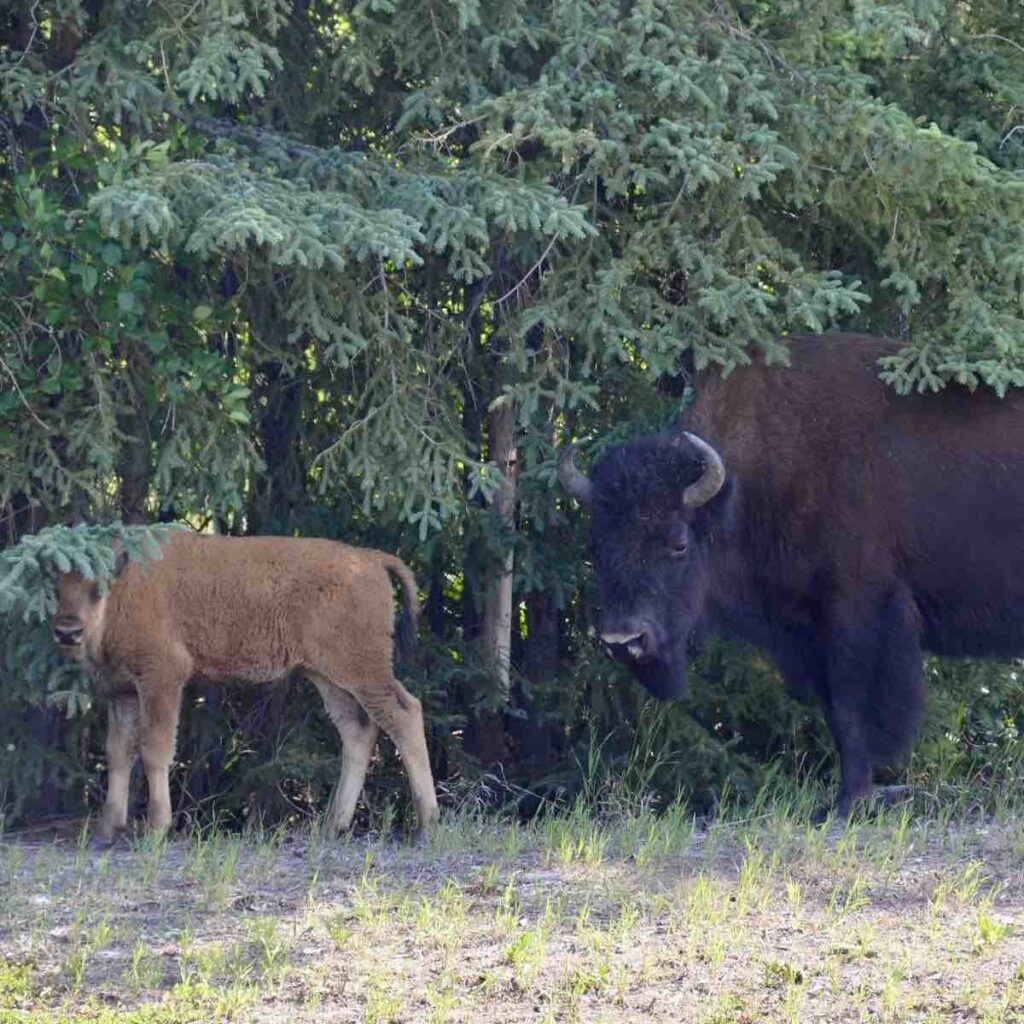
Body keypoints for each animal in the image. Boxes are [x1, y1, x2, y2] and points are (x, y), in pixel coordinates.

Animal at [50, 532, 440, 843]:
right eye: (56, 589)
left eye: (96, 588)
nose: (68, 631)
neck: (127, 584)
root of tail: (371, 558)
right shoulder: (123, 692)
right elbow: (118, 753)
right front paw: (106, 830)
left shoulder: (161, 679)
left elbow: (154, 749)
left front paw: (156, 829)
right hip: (327, 677)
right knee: (358, 731)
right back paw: (332, 826)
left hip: (361, 670)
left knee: (404, 714)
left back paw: (426, 826)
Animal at [561, 335, 1024, 815]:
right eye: (596, 546)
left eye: (679, 542)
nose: (623, 640)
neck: (744, 488)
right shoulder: (810, 633)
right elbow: (837, 715)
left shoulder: (857, 615)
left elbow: (851, 712)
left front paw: (849, 803)